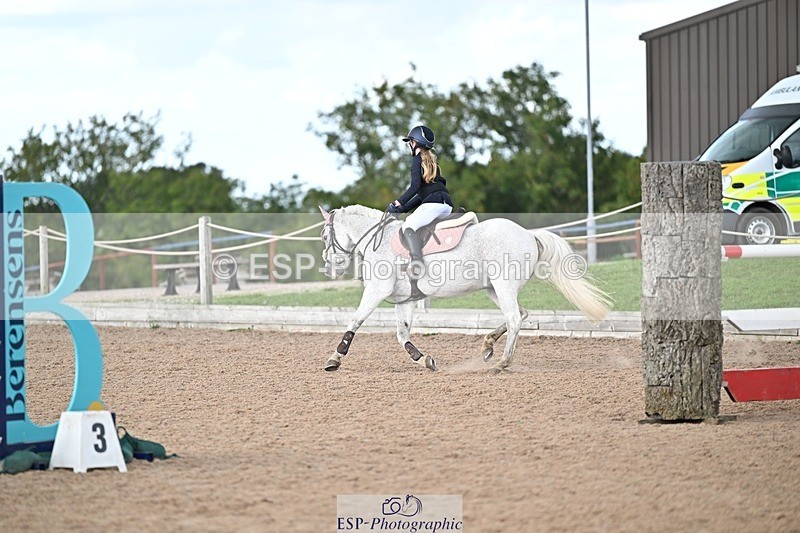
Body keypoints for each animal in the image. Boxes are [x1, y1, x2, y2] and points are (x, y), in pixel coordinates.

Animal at [319, 205, 612, 372]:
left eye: (324, 236)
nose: (331, 267)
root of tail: (529, 234)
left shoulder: (376, 291)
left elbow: (355, 321)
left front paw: (334, 358)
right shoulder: (405, 300)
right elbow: (402, 335)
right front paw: (423, 359)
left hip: (504, 286)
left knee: (515, 318)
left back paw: (502, 363)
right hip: (494, 289)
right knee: (521, 314)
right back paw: (488, 346)